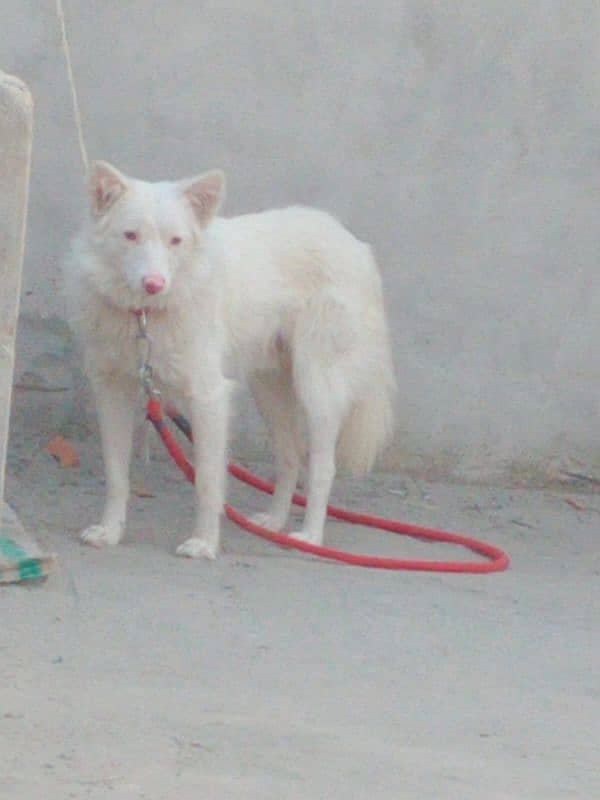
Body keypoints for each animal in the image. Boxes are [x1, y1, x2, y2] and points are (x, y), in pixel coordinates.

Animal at [63, 163, 396, 560]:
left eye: (175, 241)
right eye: (130, 236)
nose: (154, 284)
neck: (146, 314)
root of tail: (356, 245)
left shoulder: (209, 397)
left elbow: (207, 480)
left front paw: (205, 542)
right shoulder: (112, 392)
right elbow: (116, 476)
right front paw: (110, 531)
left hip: (317, 389)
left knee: (322, 468)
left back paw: (309, 537)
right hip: (270, 390)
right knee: (290, 457)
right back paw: (274, 523)